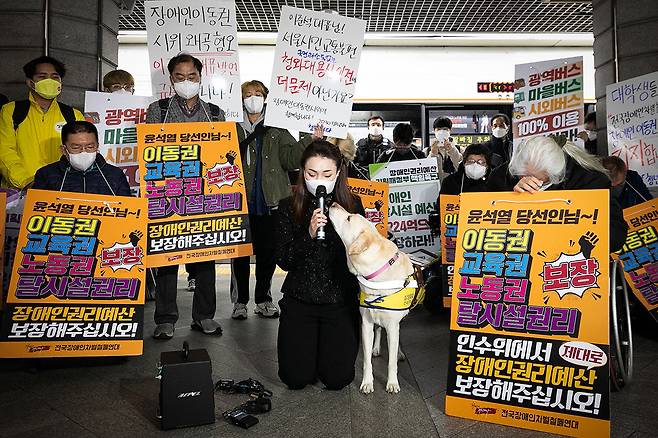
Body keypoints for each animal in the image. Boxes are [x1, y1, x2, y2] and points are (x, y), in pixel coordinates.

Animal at [326, 204, 422, 394]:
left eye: (349, 218)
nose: (333, 204)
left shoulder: (392, 326)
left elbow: (391, 361)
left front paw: (392, 383)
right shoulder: (366, 324)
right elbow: (366, 361)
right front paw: (367, 382)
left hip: (401, 319)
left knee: (397, 338)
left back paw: (399, 353)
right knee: (378, 330)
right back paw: (376, 348)